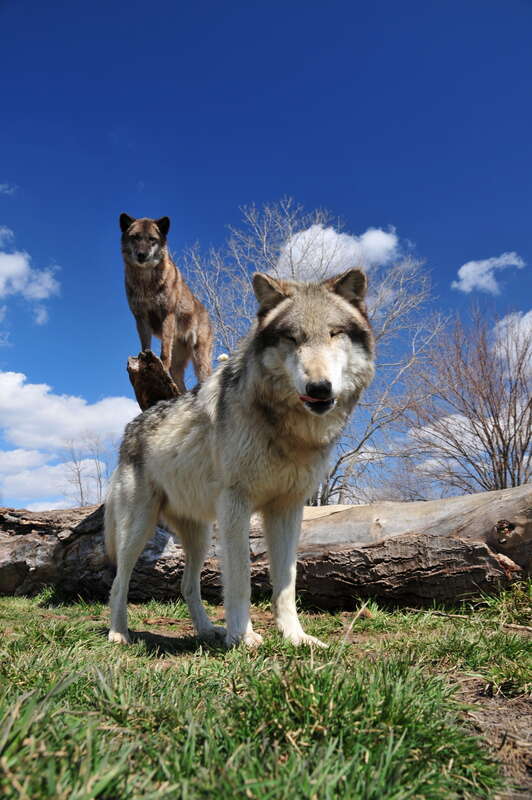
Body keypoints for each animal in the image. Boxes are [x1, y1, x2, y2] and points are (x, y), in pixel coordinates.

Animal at [105, 268, 375, 648]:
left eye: (335, 334)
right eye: (292, 338)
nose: (319, 388)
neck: (288, 430)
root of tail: (131, 426)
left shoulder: (288, 509)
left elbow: (287, 583)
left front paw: (295, 637)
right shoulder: (236, 504)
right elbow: (240, 579)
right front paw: (242, 636)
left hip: (200, 535)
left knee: (187, 585)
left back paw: (206, 631)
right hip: (138, 528)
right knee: (119, 582)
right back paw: (118, 633)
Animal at [120, 213, 213, 391]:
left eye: (152, 239)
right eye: (135, 237)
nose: (141, 255)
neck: (146, 283)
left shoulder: (167, 314)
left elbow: (163, 351)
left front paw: (160, 365)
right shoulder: (140, 317)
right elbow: (145, 346)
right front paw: (144, 362)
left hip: (200, 359)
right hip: (178, 366)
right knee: (180, 385)